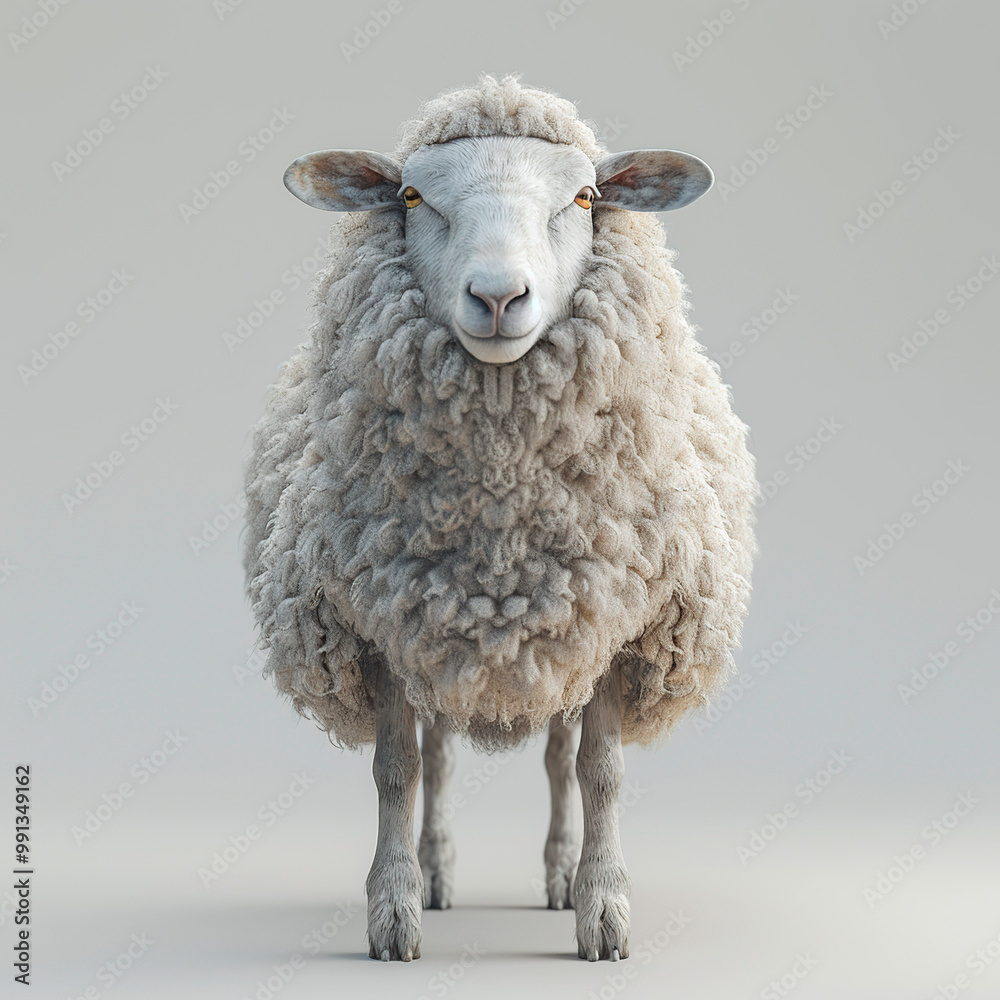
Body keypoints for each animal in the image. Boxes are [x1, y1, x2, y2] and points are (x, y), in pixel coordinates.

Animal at [242, 74, 757, 963]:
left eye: (584, 198)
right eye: (413, 197)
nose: (497, 296)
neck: (500, 528)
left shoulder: (622, 618)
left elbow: (599, 773)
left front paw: (603, 910)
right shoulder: (378, 621)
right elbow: (397, 772)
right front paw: (393, 911)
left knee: (557, 759)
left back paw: (558, 878)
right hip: (439, 636)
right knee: (441, 759)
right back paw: (439, 874)